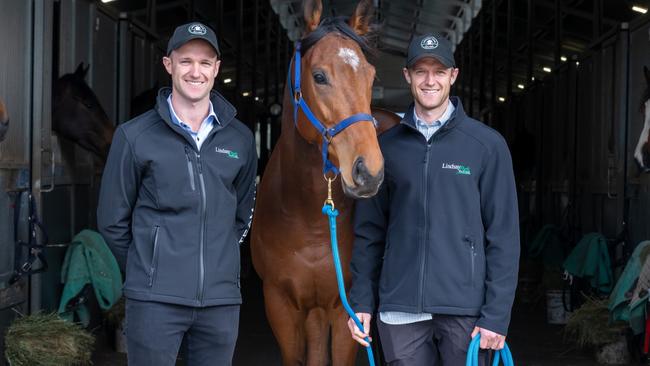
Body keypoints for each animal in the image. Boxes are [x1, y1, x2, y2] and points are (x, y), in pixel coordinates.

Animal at [251, 1, 398, 364]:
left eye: (370, 76)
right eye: (319, 76)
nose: (369, 171)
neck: (309, 222)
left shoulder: (344, 308)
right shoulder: (280, 303)